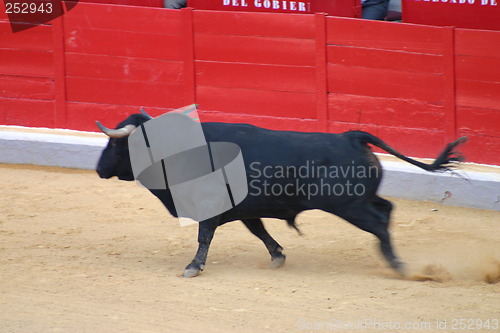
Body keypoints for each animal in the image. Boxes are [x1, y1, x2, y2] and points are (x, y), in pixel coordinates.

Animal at [95, 113, 466, 276]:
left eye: (115, 143)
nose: (99, 168)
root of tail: (350, 136)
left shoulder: (209, 207)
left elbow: (204, 236)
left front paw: (193, 267)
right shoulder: (245, 209)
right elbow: (259, 231)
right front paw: (277, 256)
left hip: (348, 204)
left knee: (379, 223)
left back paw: (398, 264)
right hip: (360, 198)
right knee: (387, 210)